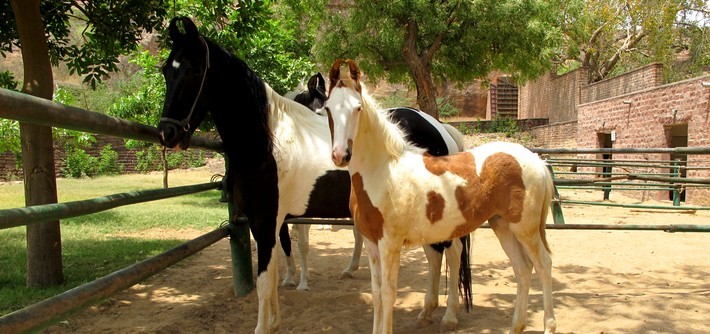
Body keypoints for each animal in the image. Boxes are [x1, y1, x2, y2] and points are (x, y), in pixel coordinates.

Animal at [326, 60, 560, 334]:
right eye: (328, 108)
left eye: (358, 107)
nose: (341, 155)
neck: (383, 171)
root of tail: (535, 159)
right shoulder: (372, 244)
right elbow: (376, 294)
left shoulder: (390, 244)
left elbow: (388, 293)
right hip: (502, 226)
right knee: (522, 269)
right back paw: (515, 326)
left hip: (526, 229)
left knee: (544, 265)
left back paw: (548, 326)